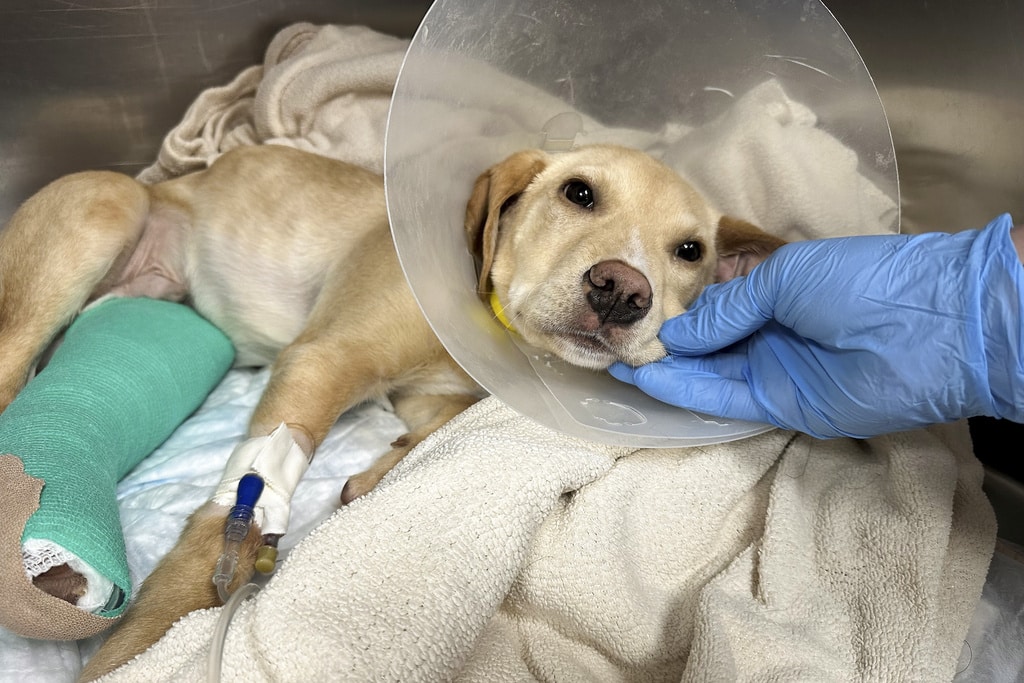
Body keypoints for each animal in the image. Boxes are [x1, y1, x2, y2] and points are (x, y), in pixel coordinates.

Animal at [0, 141, 782, 675]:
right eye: (579, 193)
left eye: (691, 250)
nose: (622, 290)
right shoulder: (326, 359)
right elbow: (227, 524)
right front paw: (140, 649)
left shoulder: (429, 398)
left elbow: (438, 430)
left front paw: (376, 475)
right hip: (106, 209)